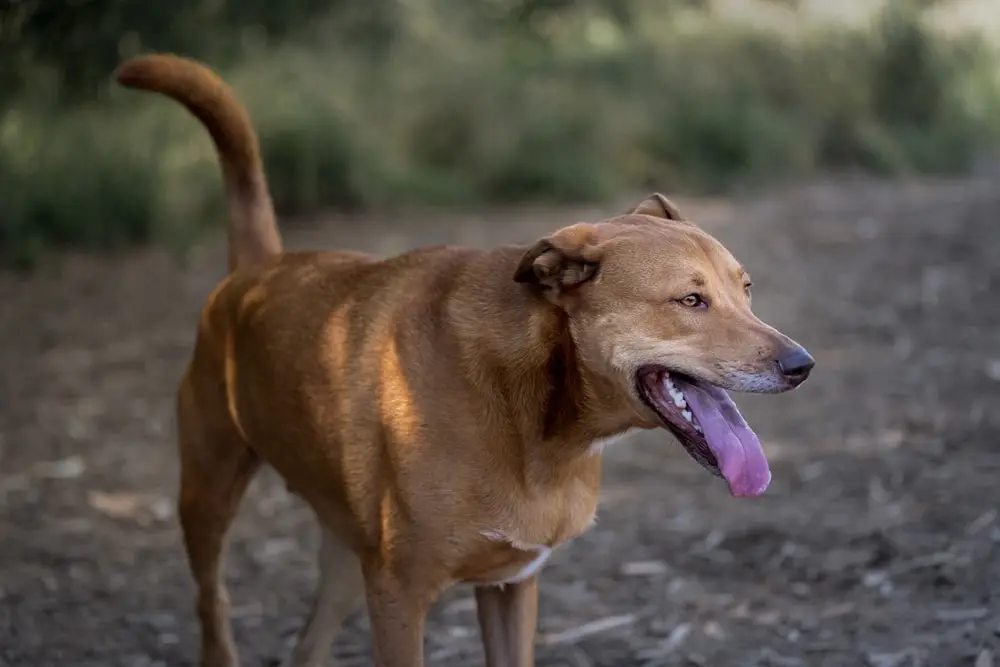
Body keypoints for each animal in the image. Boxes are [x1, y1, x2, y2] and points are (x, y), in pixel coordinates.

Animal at [117, 53, 812, 667]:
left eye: (746, 290)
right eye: (690, 300)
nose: (802, 364)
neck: (534, 416)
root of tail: (257, 270)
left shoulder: (511, 586)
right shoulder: (399, 597)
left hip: (345, 555)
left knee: (306, 648)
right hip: (207, 498)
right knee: (212, 604)